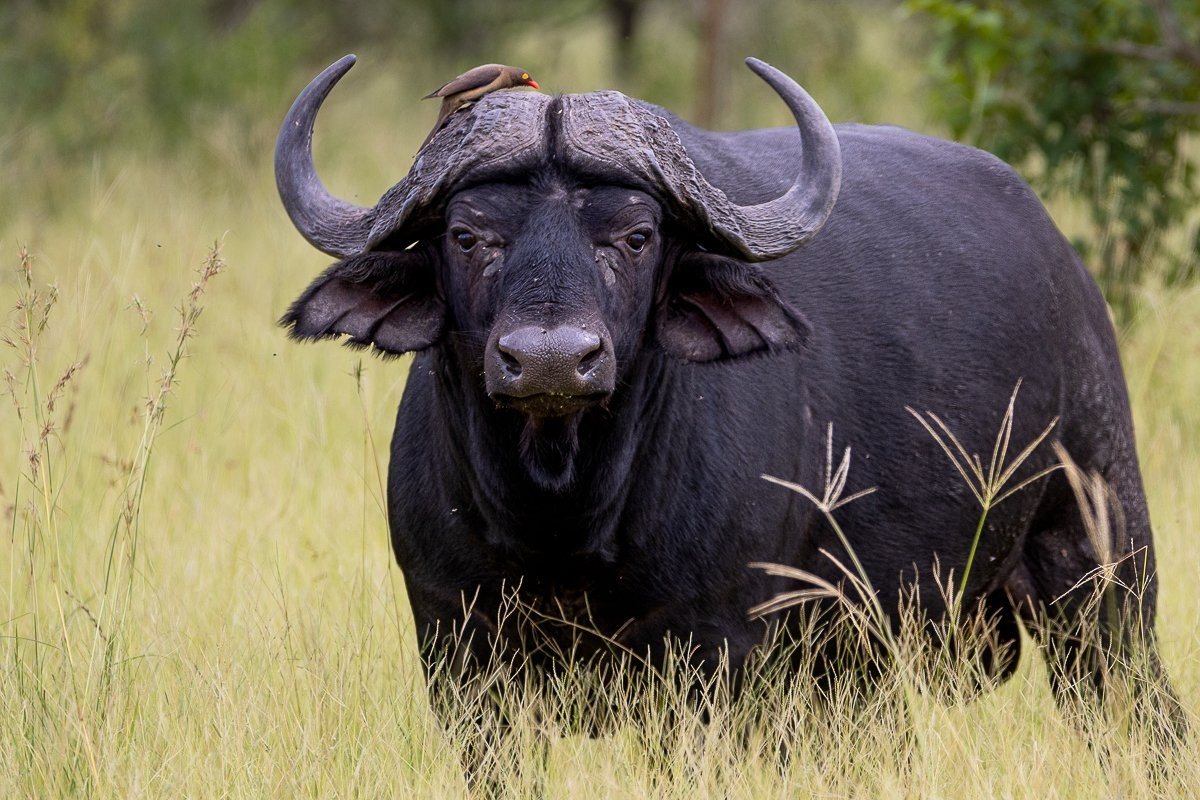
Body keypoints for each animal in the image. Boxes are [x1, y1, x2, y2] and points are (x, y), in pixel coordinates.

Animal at [275, 55, 1183, 782]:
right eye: (468, 235)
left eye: (636, 235)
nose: (551, 361)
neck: (564, 514)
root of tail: (1065, 266)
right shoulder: (460, 655)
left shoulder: (712, 656)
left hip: (1103, 578)